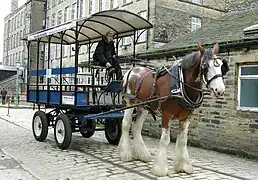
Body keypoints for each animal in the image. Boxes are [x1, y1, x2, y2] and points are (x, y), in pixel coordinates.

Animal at [118, 41, 229, 176]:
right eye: (205, 66)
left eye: (222, 66)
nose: (220, 90)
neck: (180, 85)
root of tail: (132, 69)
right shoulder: (166, 115)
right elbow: (165, 139)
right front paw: (160, 169)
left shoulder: (186, 118)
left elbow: (183, 140)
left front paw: (184, 166)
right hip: (130, 102)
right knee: (126, 124)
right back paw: (125, 153)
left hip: (143, 106)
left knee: (136, 126)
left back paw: (143, 154)